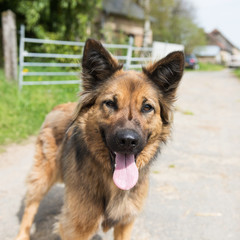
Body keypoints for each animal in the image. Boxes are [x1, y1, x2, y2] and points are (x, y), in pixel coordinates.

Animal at [15, 38, 184, 239]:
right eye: (110, 103)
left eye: (147, 107)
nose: (128, 141)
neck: (111, 181)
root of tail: (58, 106)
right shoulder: (76, 228)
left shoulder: (125, 222)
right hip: (43, 175)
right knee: (31, 205)